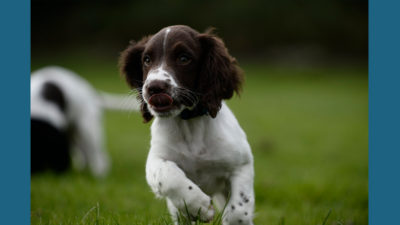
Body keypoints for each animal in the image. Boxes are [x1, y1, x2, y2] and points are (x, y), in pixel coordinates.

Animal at [120, 25, 255, 225]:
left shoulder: (241, 163)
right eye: (147, 60)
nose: (154, 87)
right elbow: (170, 177)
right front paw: (199, 206)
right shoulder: (155, 160)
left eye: (184, 58)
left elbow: (238, 209)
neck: (190, 124)